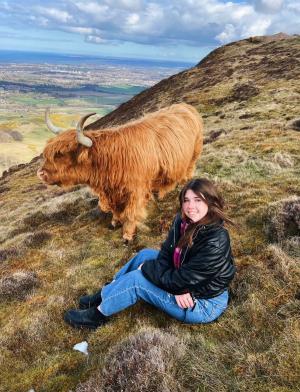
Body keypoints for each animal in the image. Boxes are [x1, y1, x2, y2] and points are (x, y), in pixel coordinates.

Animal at [36, 102, 203, 240]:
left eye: (61, 154)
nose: (41, 174)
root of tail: (186, 106)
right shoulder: (112, 191)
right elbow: (115, 209)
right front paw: (114, 222)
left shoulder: (136, 190)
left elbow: (131, 213)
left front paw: (127, 235)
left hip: (193, 155)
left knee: (189, 172)